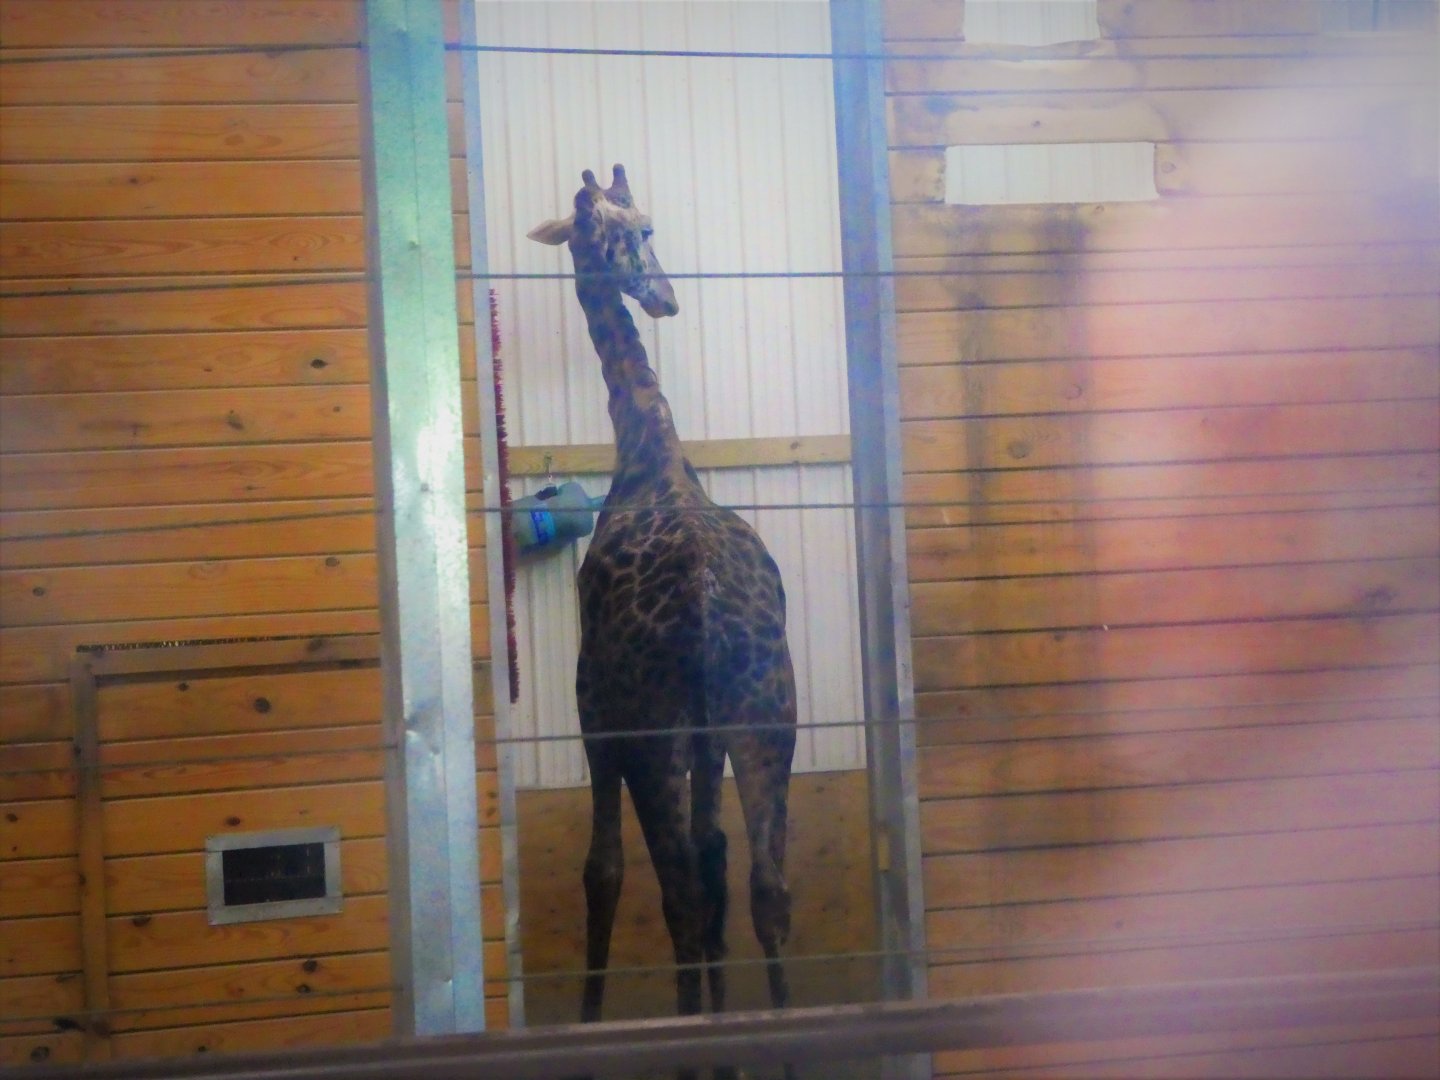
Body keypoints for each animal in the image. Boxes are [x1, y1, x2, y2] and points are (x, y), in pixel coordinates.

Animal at [529, 166, 798, 1047]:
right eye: (637, 229)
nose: (665, 297)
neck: (648, 449)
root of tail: (708, 607)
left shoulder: (594, 707)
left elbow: (604, 870)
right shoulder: (712, 732)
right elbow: (718, 859)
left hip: (657, 733)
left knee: (676, 890)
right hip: (766, 716)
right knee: (763, 886)